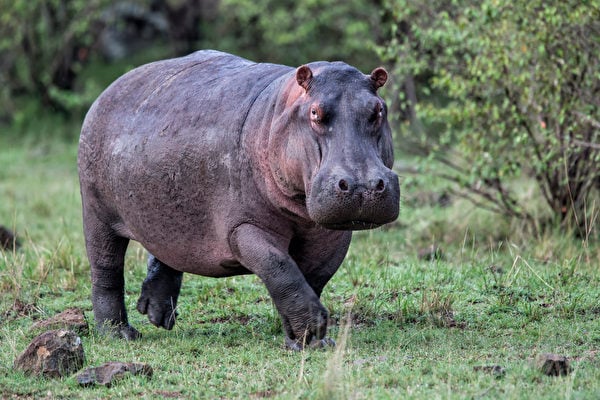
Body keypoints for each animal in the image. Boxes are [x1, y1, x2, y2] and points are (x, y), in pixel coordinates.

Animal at [78, 50, 398, 348]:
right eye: (316, 113)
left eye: (378, 110)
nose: (363, 186)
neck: (279, 112)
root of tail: (111, 88)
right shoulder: (243, 227)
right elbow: (281, 269)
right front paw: (311, 333)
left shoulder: (332, 234)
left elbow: (311, 277)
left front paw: (304, 337)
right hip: (97, 211)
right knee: (106, 270)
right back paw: (119, 334)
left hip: (168, 211)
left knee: (167, 248)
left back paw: (158, 315)